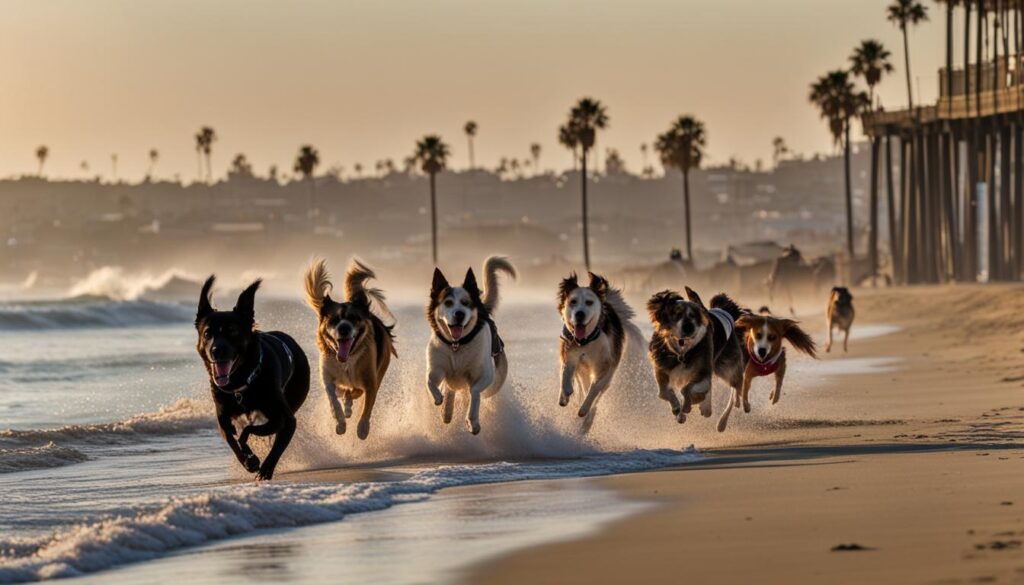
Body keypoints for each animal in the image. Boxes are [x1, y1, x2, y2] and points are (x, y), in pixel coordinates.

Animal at [194, 276, 307, 483]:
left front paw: (264, 469)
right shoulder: (223, 418)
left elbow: (254, 434)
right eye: (207, 333)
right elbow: (231, 438)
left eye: (232, 331)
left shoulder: (286, 419)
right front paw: (248, 460)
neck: (242, 383)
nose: (216, 350)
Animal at [301, 258, 393, 442]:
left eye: (354, 318)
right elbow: (333, 399)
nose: (344, 328)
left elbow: (367, 405)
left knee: (356, 392)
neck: (347, 359)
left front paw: (362, 428)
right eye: (333, 320)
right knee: (344, 392)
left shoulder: (370, 382)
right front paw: (340, 422)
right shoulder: (327, 377)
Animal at [425, 256, 516, 434]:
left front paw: (472, 421)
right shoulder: (437, 366)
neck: (457, 345)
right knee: (450, 388)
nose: (459, 314)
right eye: (448, 303)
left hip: (496, 380)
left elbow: (474, 390)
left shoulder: (485, 375)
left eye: (466, 303)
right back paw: (446, 409)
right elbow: (430, 381)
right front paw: (439, 398)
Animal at [557, 272, 643, 432]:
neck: (585, 341)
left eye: (589, 302)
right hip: (582, 371)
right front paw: (565, 393)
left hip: (607, 376)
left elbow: (594, 389)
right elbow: (565, 372)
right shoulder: (570, 352)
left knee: (595, 396)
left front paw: (584, 409)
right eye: (573, 301)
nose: (579, 314)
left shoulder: (604, 365)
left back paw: (587, 418)